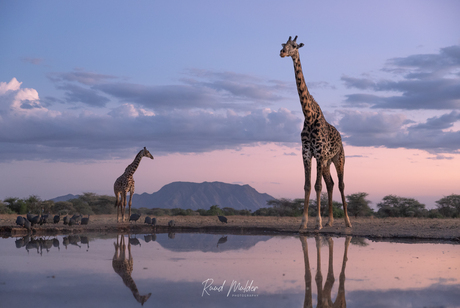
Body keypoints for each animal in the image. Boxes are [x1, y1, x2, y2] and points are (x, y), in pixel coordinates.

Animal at [280, 35, 352, 229]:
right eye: (283, 44)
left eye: (294, 46)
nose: (282, 52)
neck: (309, 114)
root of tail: (341, 137)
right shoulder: (306, 152)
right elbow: (307, 185)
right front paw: (304, 223)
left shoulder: (319, 153)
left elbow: (317, 186)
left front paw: (317, 222)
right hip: (326, 162)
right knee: (331, 183)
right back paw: (330, 221)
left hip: (338, 158)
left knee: (341, 184)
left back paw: (347, 222)